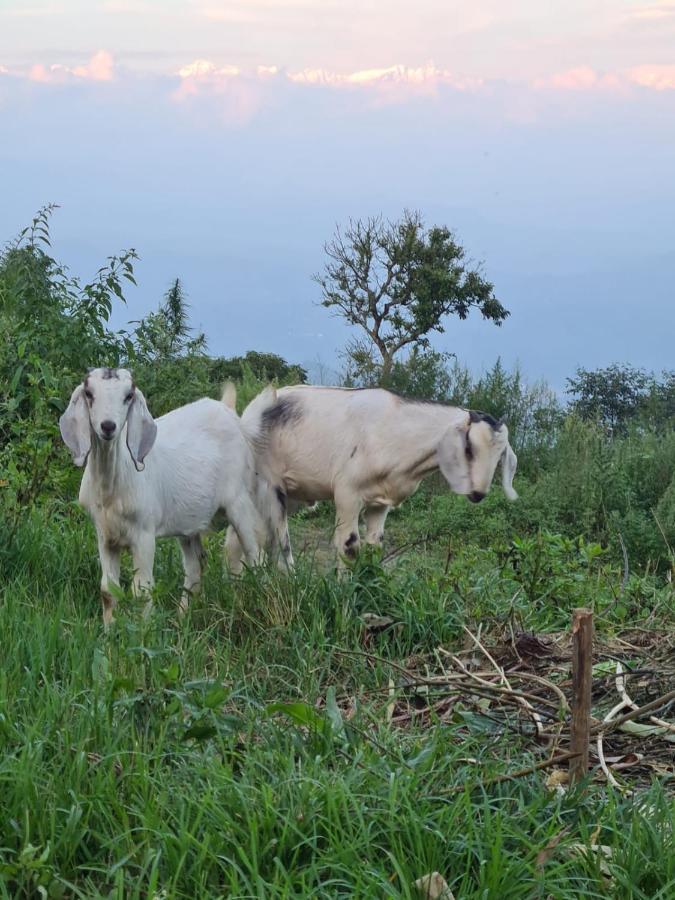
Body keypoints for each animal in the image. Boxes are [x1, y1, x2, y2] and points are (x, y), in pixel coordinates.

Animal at [58, 366, 270, 624]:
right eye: (89, 393)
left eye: (128, 396)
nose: (108, 426)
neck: (114, 484)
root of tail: (227, 409)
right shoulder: (104, 535)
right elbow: (108, 591)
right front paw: (109, 632)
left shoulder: (144, 534)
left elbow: (142, 591)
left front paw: (143, 632)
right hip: (189, 521)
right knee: (195, 565)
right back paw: (181, 619)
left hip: (239, 501)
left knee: (256, 557)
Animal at [227, 382, 516, 568]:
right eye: (468, 447)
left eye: (500, 456)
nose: (478, 493)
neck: (396, 430)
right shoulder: (347, 494)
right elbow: (349, 547)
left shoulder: (380, 503)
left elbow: (374, 547)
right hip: (269, 488)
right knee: (276, 543)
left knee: (238, 538)